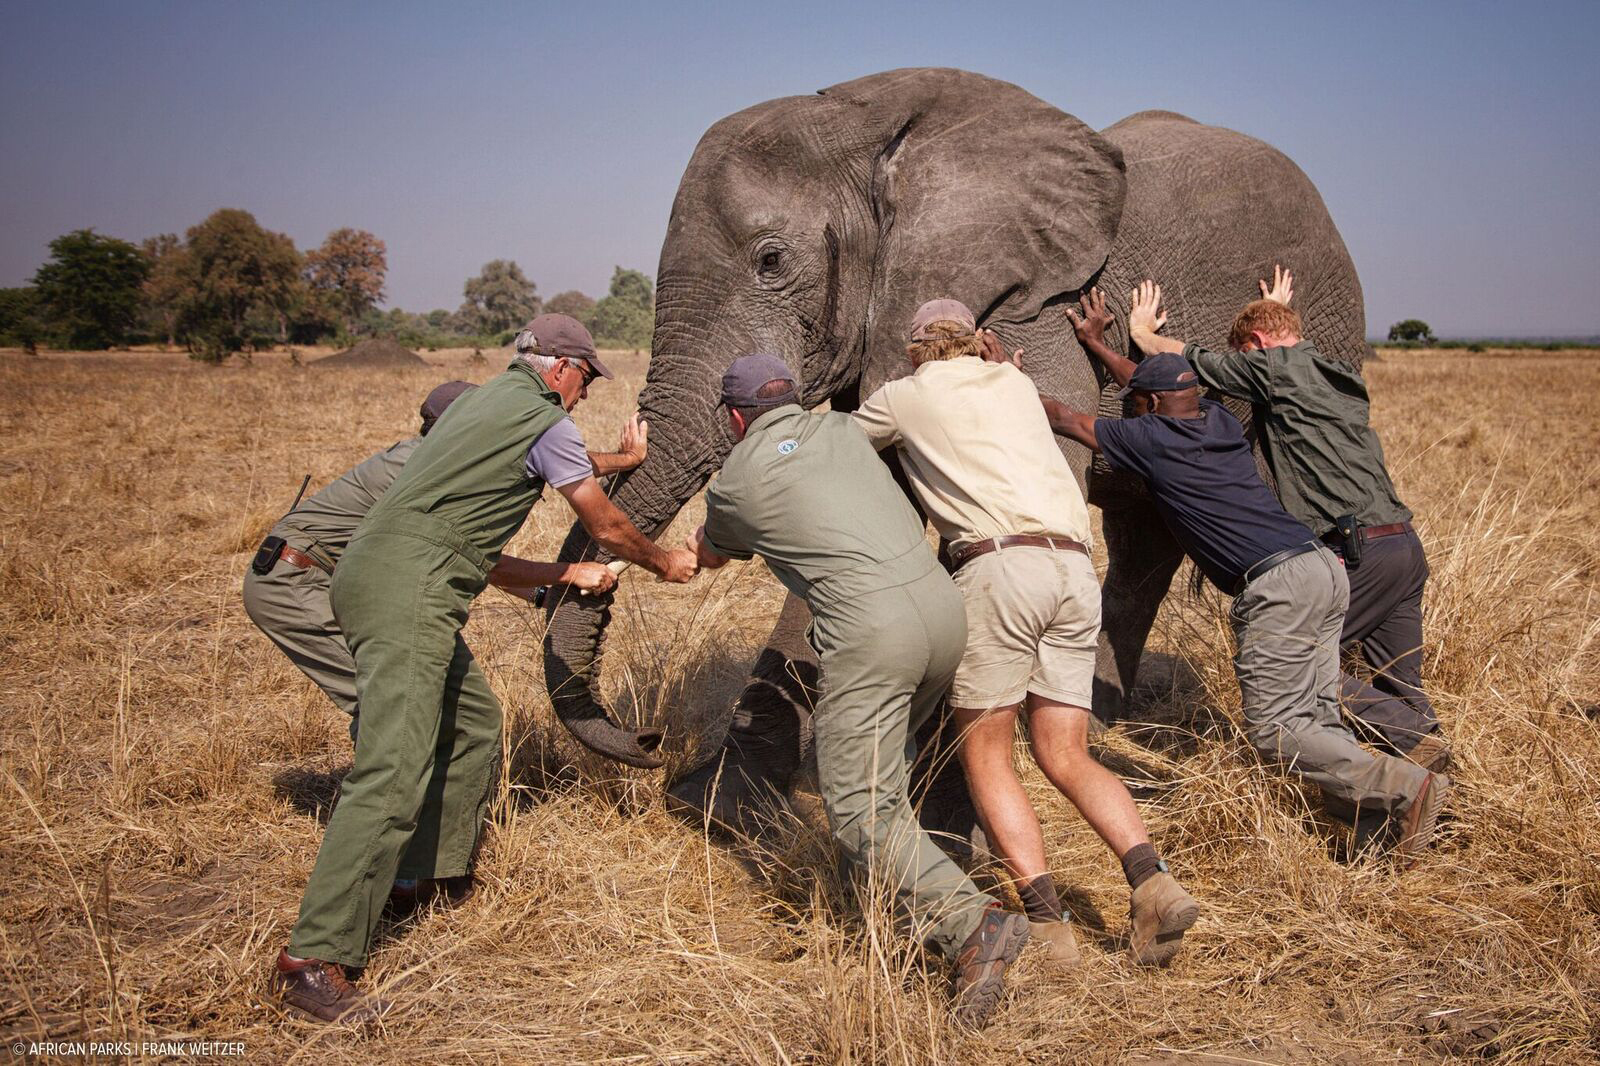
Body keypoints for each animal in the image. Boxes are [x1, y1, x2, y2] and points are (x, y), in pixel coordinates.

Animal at [537, 66, 1363, 832]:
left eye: (771, 261)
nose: (646, 741)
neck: (868, 124)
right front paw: (720, 807)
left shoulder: (1036, 313)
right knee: (1142, 545)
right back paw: (1093, 723)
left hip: (1323, 334)